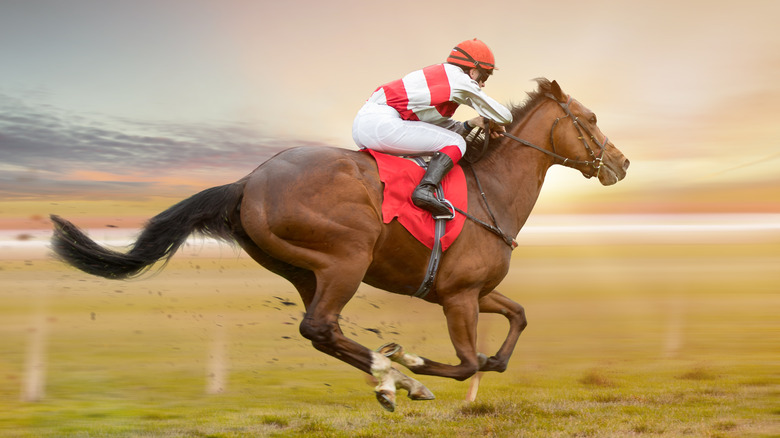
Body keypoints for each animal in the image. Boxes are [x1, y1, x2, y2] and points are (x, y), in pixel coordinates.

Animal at [51, 78, 632, 410]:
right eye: (591, 119)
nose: (622, 163)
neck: (493, 190)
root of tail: (249, 181)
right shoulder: (460, 296)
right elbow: (468, 362)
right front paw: (418, 365)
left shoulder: (470, 291)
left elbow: (516, 321)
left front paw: (455, 367)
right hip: (346, 259)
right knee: (320, 327)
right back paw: (397, 377)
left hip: (304, 270)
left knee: (322, 332)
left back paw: (390, 379)